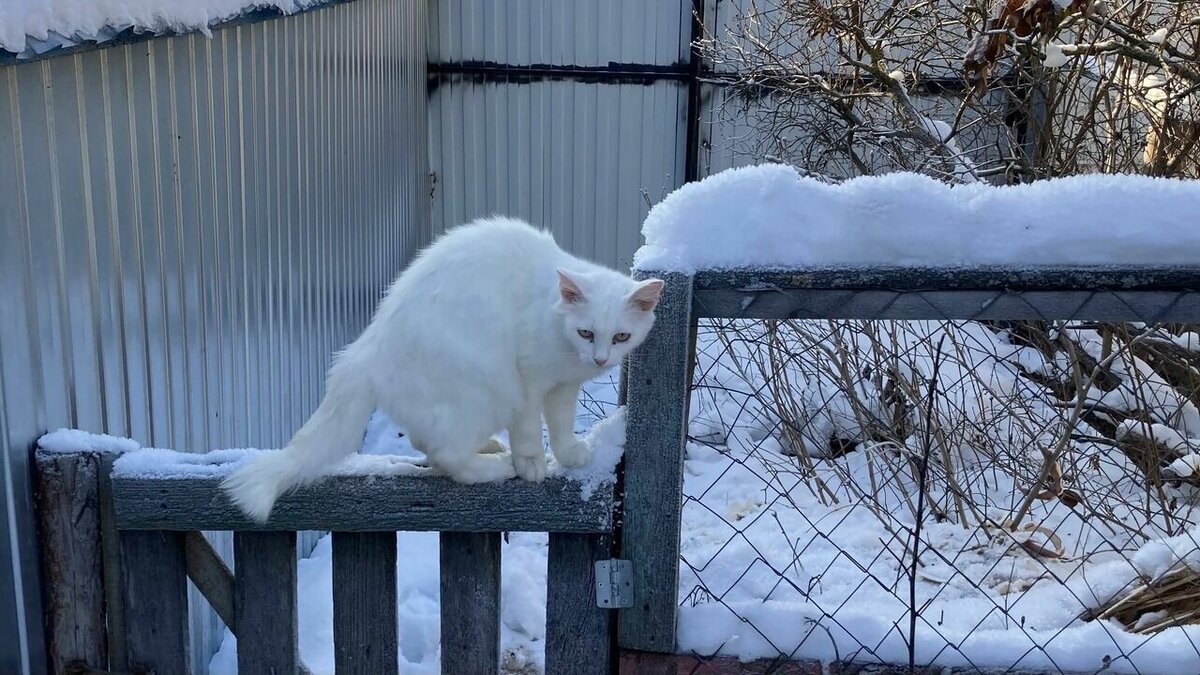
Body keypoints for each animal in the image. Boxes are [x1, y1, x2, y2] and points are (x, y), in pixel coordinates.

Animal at [220, 214, 662, 521]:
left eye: (621, 337)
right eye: (586, 332)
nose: (601, 359)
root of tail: (365, 351)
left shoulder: (563, 387)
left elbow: (561, 422)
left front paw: (569, 453)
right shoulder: (529, 380)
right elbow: (528, 429)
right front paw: (532, 464)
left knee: (429, 446)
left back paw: (488, 449)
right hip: (488, 390)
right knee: (450, 459)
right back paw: (498, 466)